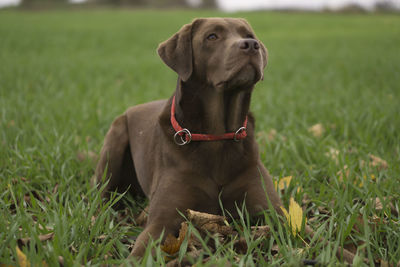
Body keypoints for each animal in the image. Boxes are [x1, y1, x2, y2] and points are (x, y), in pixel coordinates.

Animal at [94, 17, 356, 264]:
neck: (217, 136)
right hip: (114, 141)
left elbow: (319, 239)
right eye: (212, 36)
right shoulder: (163, 219)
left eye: (249, 35)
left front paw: (351, 256)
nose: (251, 45)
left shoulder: (275, 212)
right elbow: (140, 250)